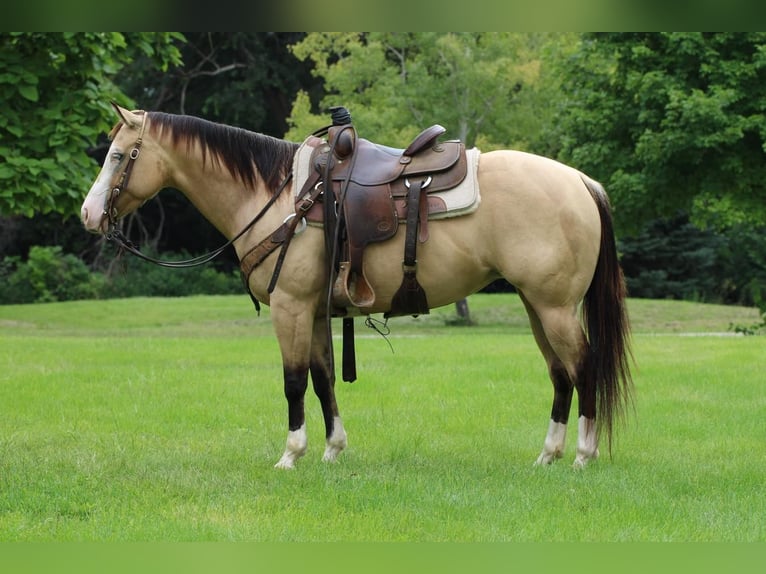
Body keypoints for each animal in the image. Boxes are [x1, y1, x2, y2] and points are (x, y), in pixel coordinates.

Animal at [79, 104, 636, 472]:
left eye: (118, 156)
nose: (87, 215)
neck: (280, 195)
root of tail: (583, 182)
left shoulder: (290, 307)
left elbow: (293, 381)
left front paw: (291, 455)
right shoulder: (315, 311)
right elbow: (323, 378)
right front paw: (332, 449)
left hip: (555, 307)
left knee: (583, 368)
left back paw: (582, 456)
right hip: (537, 307)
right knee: (560, 374)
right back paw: (548, 454)